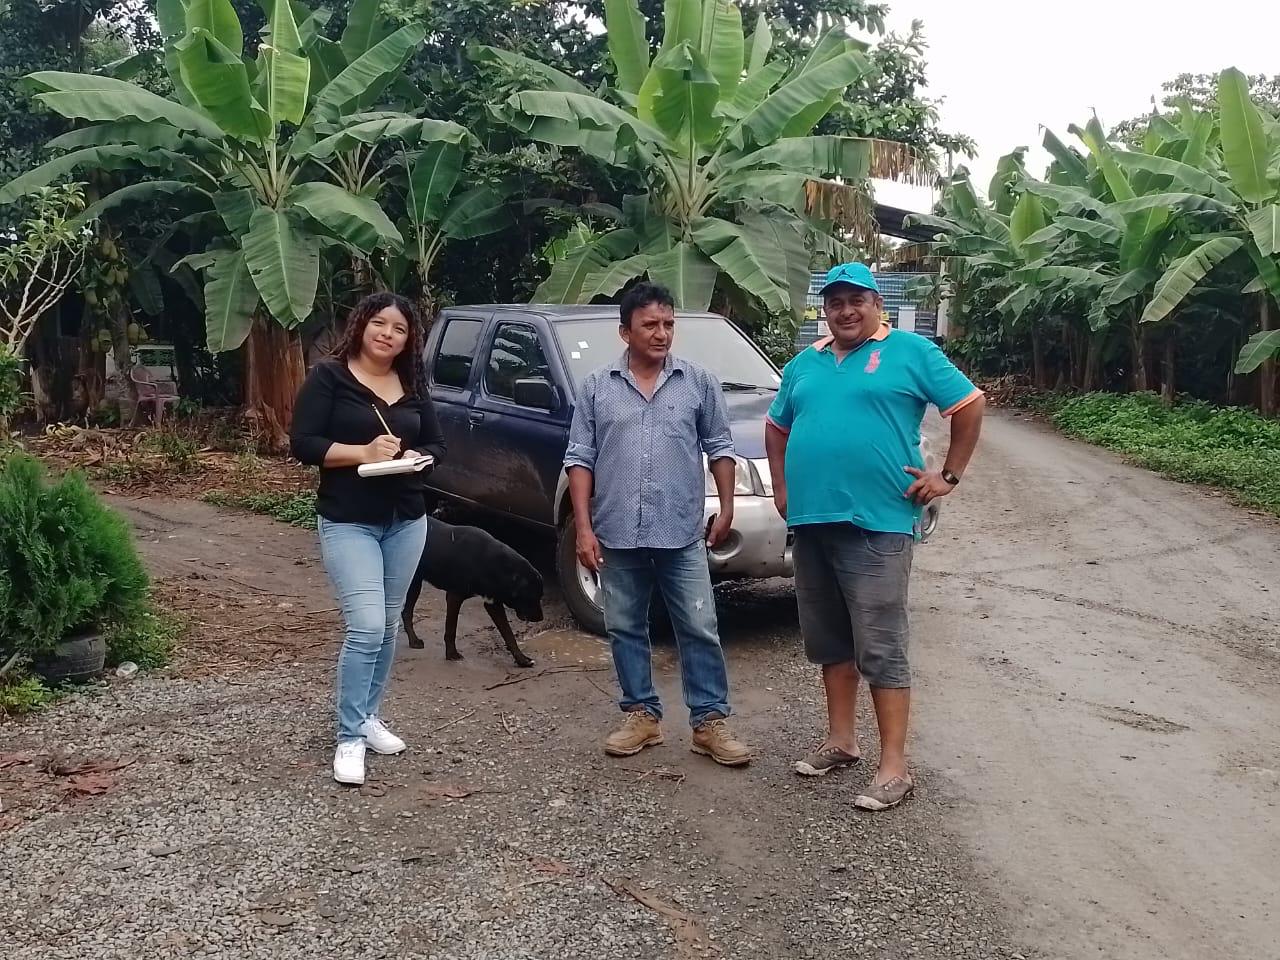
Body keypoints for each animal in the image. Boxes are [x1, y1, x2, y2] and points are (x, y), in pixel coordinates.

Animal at [402, 516, 544, 668]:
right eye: (531, 597)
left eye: (540, 596)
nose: (541, 618)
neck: (496, 565)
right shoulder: (454, 596)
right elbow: (451, 629)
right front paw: (451, 654)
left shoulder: (493, 604)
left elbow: (509, 634)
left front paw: (522, 659)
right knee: (405, 613)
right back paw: (414, 641)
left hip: (415, 583)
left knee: (405, 613)